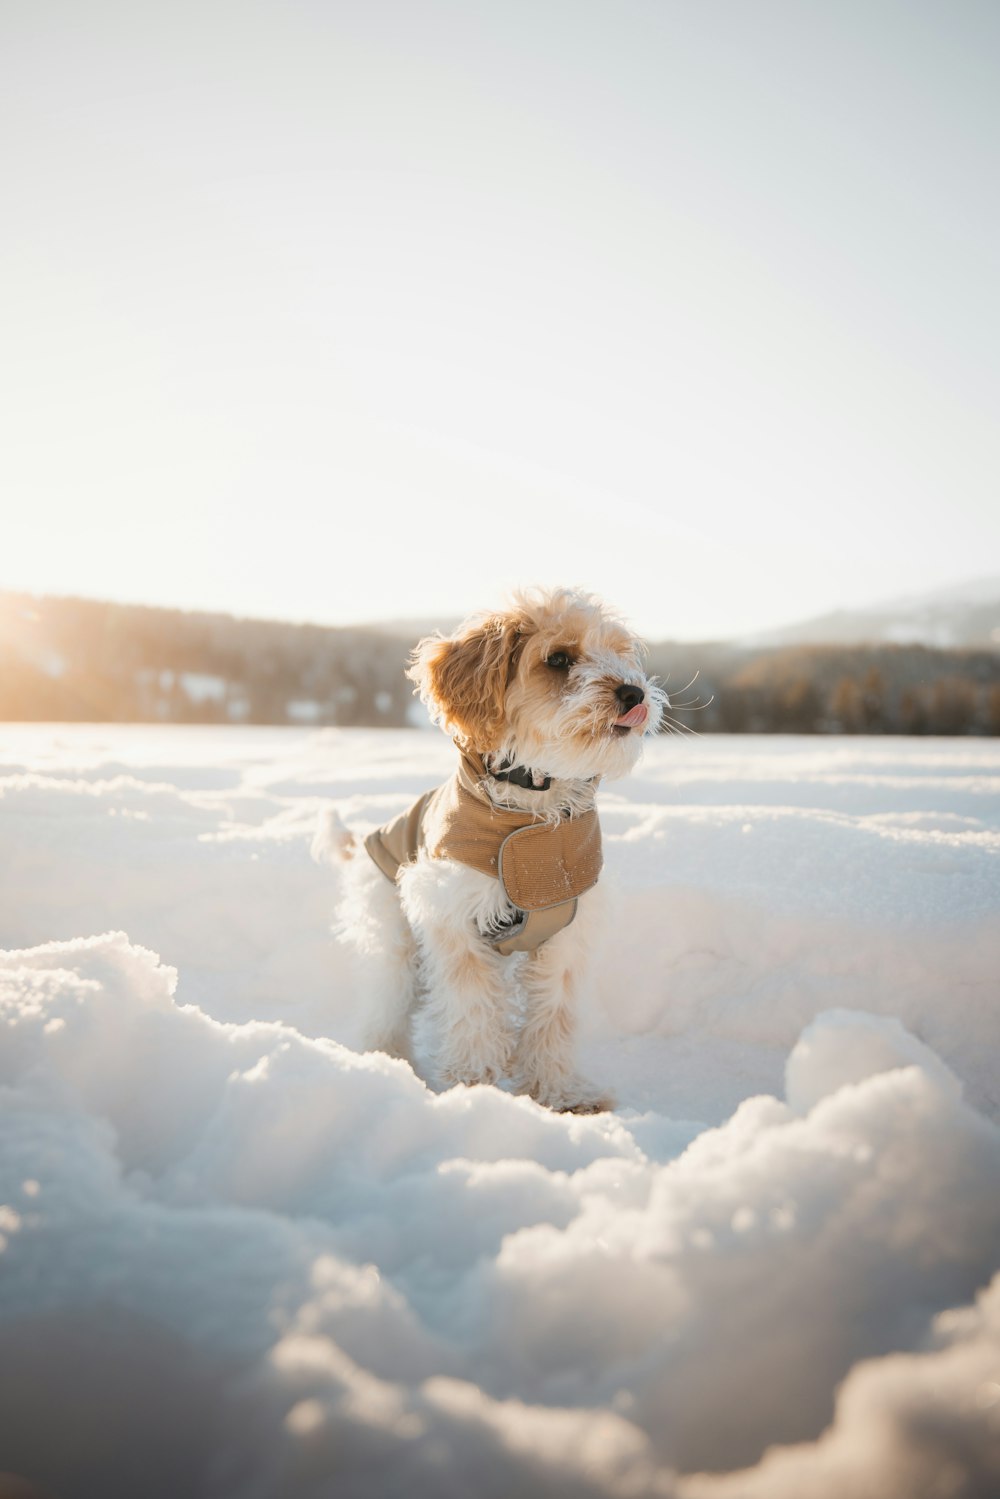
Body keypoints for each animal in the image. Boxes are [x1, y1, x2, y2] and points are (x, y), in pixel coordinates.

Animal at [320, 587, 665, 1115]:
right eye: (558, 659)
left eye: (619, 652)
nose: (634, 693)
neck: (533, 811)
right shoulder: (451, 918)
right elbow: (473, 1008)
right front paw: (473, 1088)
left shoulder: (567, 929)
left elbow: (554, 1015)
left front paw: (561, 1093)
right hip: (395, 941)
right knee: (384, 1007)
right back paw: (385, 1063)